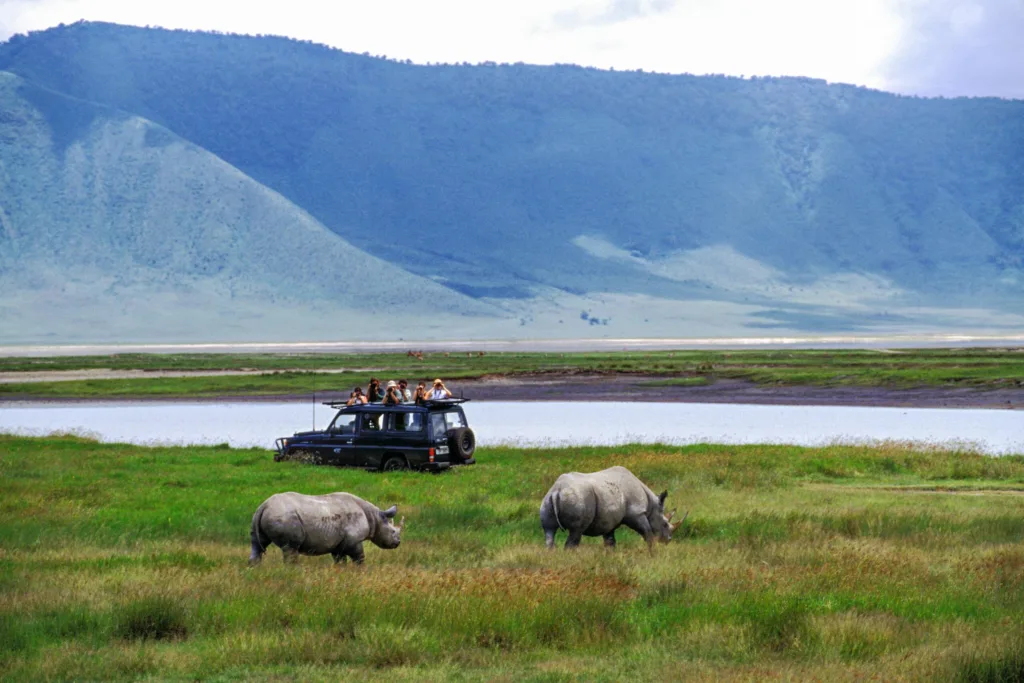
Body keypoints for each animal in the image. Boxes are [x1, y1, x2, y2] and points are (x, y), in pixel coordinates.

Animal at [249, 491, 404, 565]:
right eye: (392, 531)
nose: (397, 543)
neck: (375, 517)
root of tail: (265, 505)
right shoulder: (354, 540)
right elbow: (359, 558)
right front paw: (361, 572)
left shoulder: (338, 543)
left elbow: (340, 561)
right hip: (284, 516)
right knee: (290, 548)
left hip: (259, 515)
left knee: (257, 544)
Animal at [539, 466, 686, 550]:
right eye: (665, 524)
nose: (668, 540)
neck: (652, 506)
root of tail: (557, 490)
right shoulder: (637, 513)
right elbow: (647, 533)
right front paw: (653, 553)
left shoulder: (608, 520)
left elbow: (610, 541)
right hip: (578, 498)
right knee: (576, 531)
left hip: (547, 500)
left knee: (549, 531)